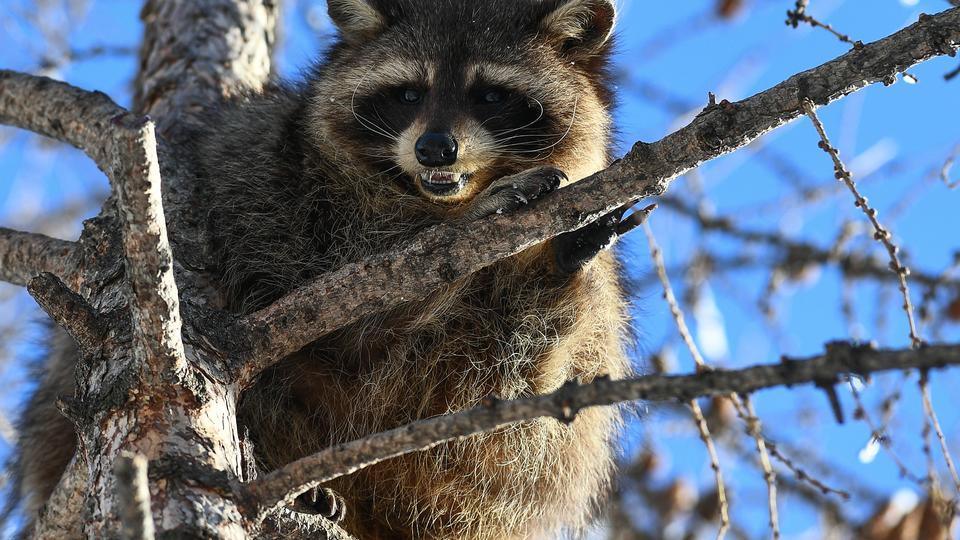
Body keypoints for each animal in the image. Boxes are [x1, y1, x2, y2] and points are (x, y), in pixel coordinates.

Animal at [13, 0, 636, 536]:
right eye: (407, 93)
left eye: (489, 95)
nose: (435, 148)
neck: (428, 197)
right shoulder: (269, 183)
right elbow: (346, 282)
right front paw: (470, 222)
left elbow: (501, 380)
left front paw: (551, 266)